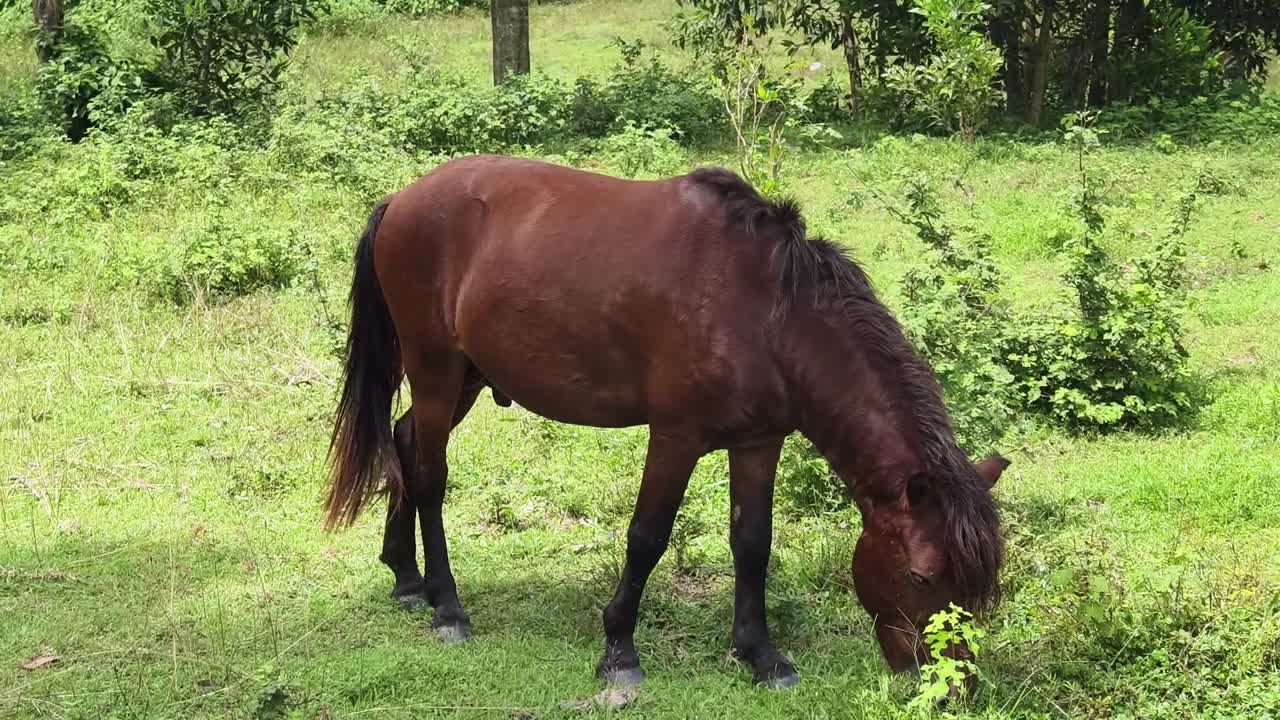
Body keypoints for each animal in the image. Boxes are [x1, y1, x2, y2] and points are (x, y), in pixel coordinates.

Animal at [324, 155, 1007, 690]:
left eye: (979, 586)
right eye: (921, 575)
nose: (953, 684)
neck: (767, 311)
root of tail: (401, 199)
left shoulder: (759, 442)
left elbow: (752, 542)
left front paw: (761, 656)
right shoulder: (676, 438)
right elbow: (647, 537)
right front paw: (619, 652)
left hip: (464, 377)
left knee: (405, 445)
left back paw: (407, 577)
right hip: (436, 371)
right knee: (430, 475)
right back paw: (447, 607)